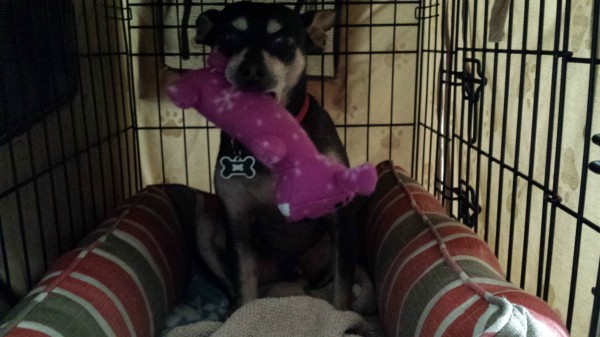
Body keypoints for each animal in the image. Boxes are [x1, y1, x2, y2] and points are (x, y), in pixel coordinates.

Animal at [192, 2, 356, 310]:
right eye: (229, 37)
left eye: (283, 42)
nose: (251, 69)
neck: (272, 139)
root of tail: (290, 278)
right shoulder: (238, 222)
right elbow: (245, 291)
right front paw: (240, 314)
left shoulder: (339, 215)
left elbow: (343, 290)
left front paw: (345, 314)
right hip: (205, 227)